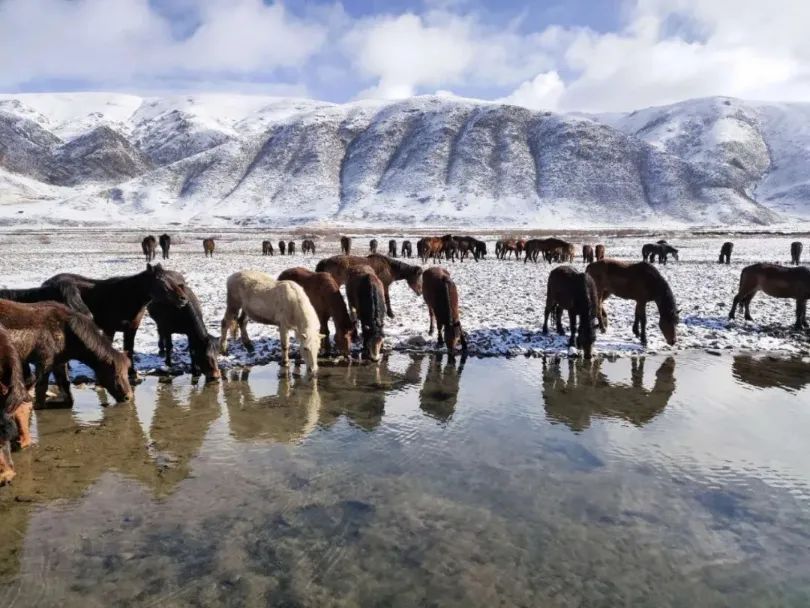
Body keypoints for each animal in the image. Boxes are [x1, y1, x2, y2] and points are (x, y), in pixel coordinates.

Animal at [0, 300, 133, 408]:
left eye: (126, 373)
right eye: (116, 375)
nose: (129, 397)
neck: (66, 333)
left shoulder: (59, 363)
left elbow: (66, 387)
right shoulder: (44, 363)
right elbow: (42, 388)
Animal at [42, 264, 188, 376]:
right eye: (161, 281)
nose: (183, 299)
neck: (125, 297)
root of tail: (46, 284)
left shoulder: (131, 329)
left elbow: (129, 349)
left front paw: (132, 372)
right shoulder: (109, 329)